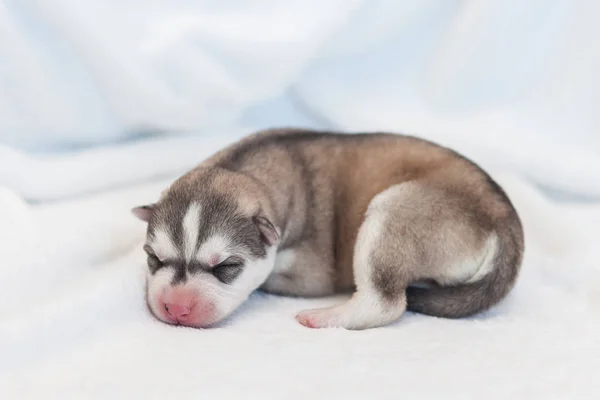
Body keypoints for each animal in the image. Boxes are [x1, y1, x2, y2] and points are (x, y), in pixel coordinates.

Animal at [131, 130, 520, 330]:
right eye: (154, 258)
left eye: (227, 267)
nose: (175, 308)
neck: (240, 168)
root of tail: (504, 216)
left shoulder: (309, 271)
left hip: (396, 211)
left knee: (386, 303)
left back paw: (330, 316)